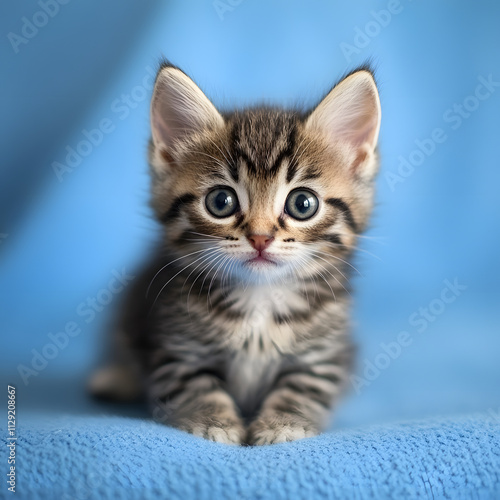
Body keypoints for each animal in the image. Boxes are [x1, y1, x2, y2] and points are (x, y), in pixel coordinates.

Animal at [90, 61, 380, 446]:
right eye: (221, 201)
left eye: (302, 204)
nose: (260, 237)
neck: (260, 299)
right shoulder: (176, 347)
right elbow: (194, 385)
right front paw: (212, 421)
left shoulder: (323, 354)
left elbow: (304, 386)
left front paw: (283, 423)